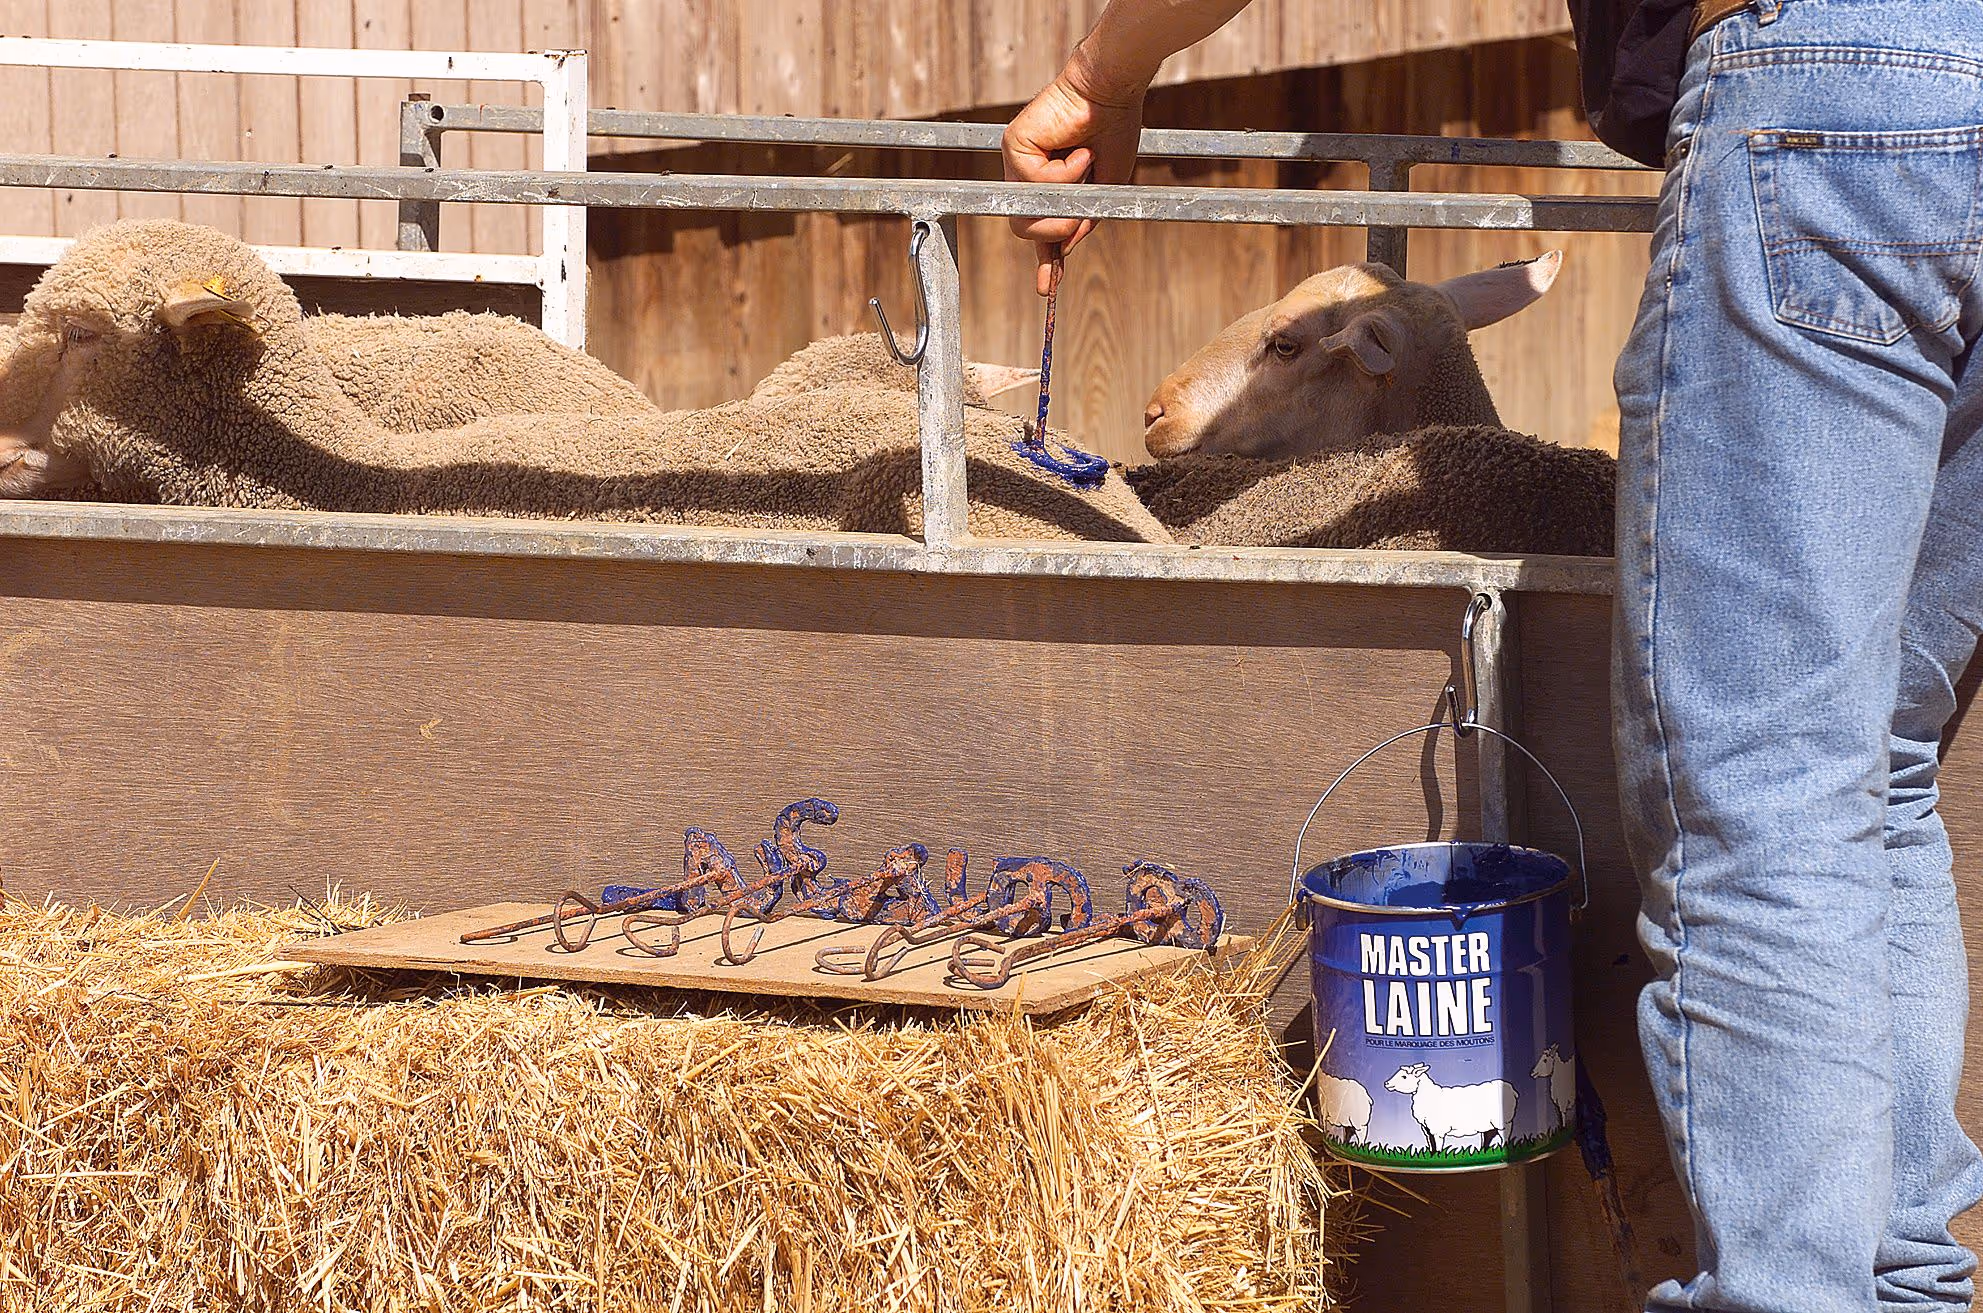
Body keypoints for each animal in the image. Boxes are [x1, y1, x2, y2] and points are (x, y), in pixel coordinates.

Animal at [1383, 1063, 1519, 1153]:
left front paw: (1439, 1156)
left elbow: (1438, 1146)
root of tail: (1511, 1089)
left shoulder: (1438, 1130)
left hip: (1503, 1122)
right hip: (1488, 1125)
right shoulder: (1427, 1130)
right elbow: (1431, 1145)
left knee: (1505, 1134)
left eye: (1404, 1077)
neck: (1428, 1095)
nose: (1386, 1083)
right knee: (1487, 1137)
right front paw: (1432, 1156)